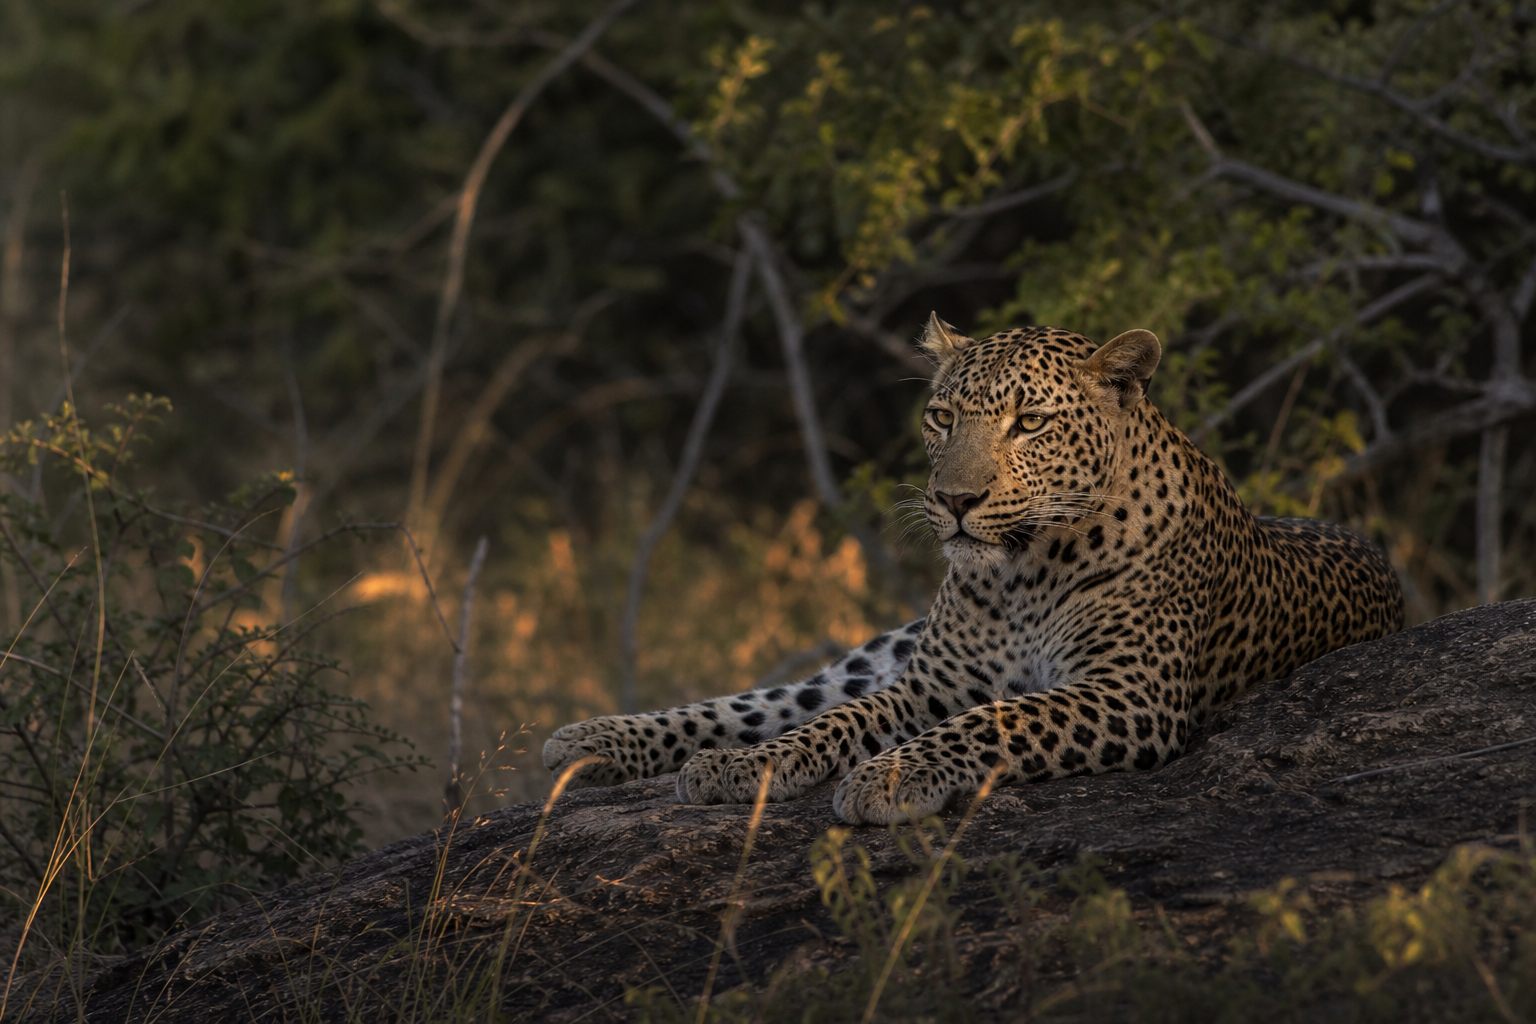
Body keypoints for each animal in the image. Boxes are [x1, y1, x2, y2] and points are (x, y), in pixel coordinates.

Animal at [543, 315, 1405, 824]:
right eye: (941, 416)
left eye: (1030, 423)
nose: (955, 500)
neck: (1025, 571)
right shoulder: (929, 686)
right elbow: (833, 722)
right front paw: (756, 768)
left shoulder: (1130, 693)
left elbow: (997, 719)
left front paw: (888, 779)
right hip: (884, 652)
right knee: (783, 698)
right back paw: (596, 742)